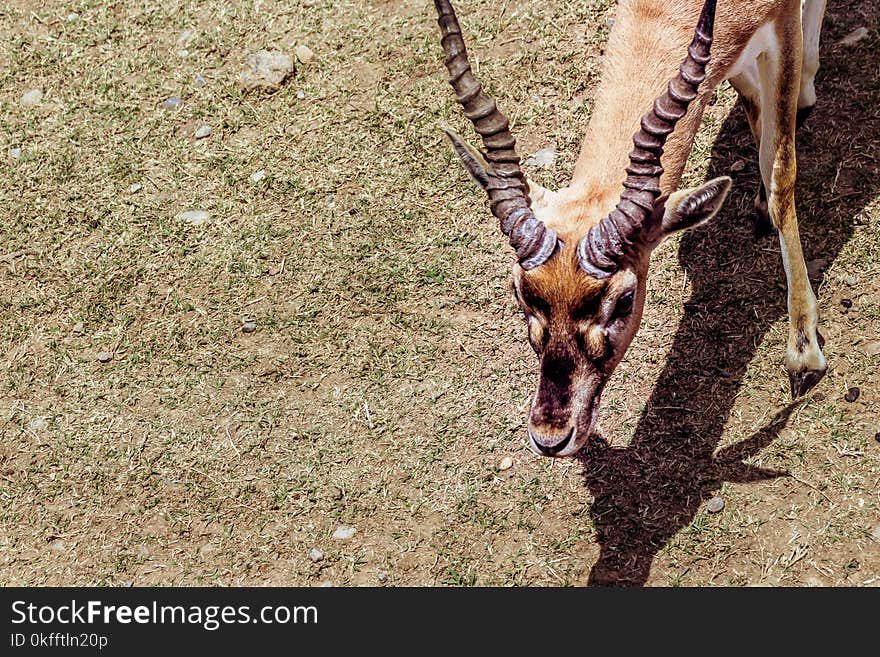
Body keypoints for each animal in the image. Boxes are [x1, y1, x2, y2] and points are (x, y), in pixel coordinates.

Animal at [436, 0, 828, 458]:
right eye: (520, 294)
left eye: (624, 300)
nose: (550, 436)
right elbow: (752, 108)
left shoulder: (780, 25)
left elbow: (779, 170)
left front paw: (803, 355)